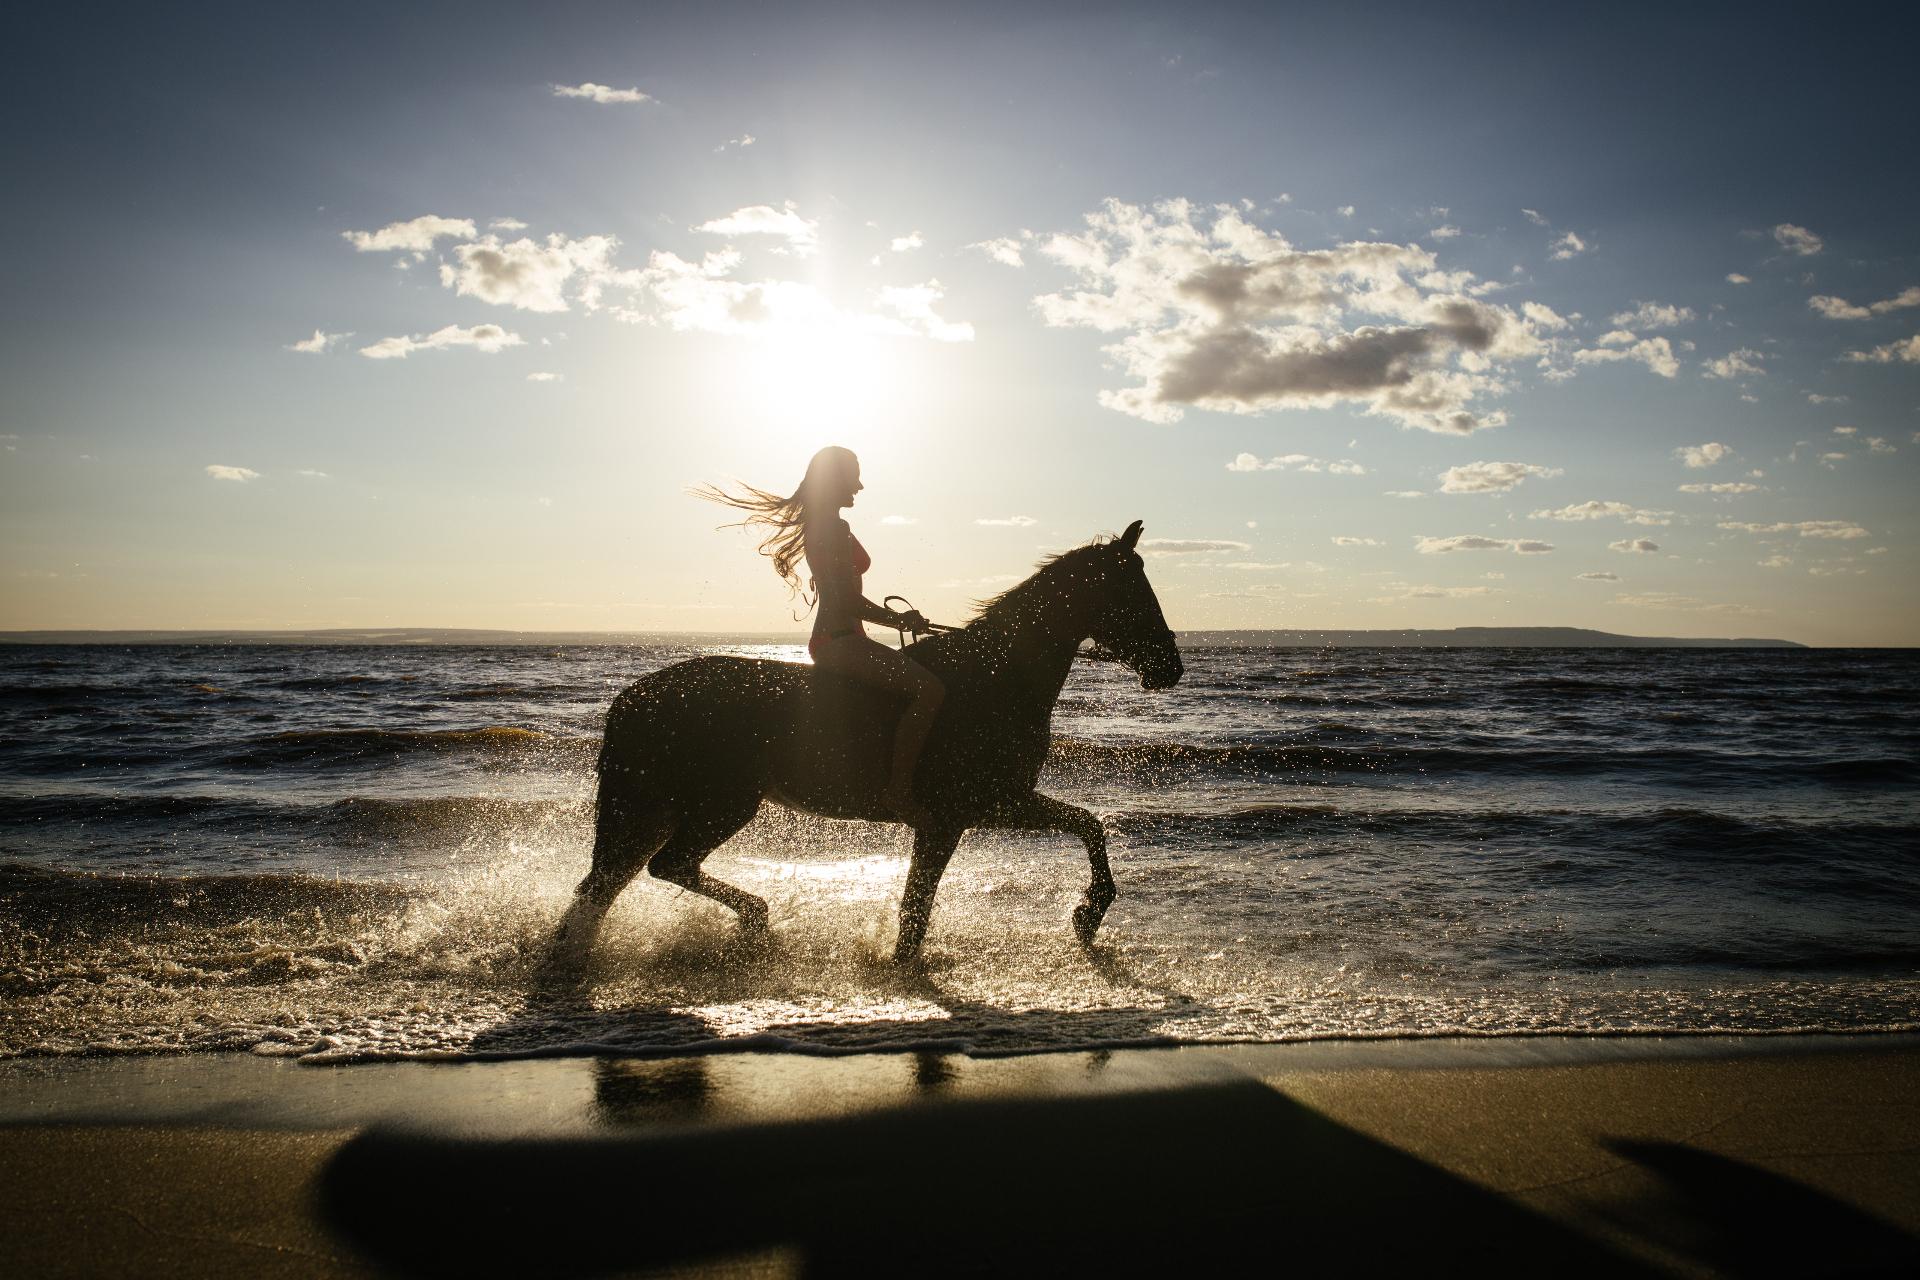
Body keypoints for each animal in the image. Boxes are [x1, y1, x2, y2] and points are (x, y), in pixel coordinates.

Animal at [552, 519, 1183, 965]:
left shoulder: (994, 805)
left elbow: (1087, 825)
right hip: (719, 804)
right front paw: (1087, 914)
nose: (1170, 667)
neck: (996, 679)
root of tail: (634, 698)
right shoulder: (966, 812)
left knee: (609, 885)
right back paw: (754, 919)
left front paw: (1086, 916)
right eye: (1134, 590)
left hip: (663, 806)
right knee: (663, 868)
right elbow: (918, 908)